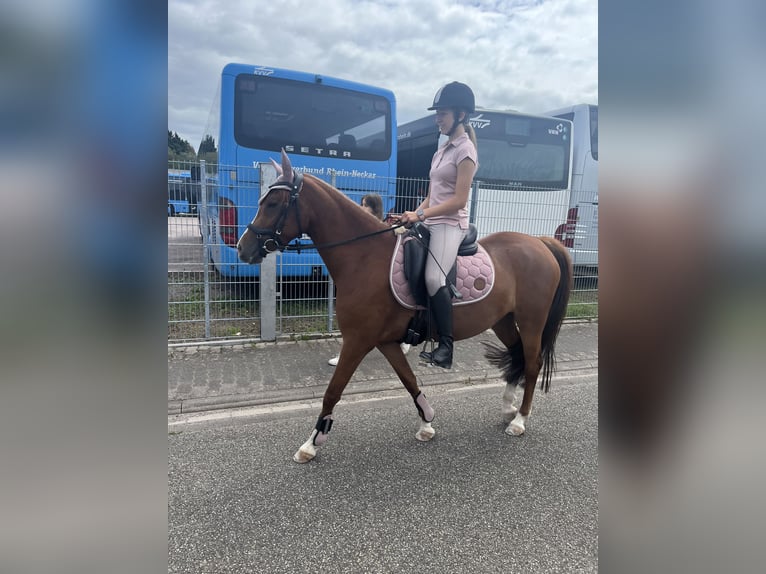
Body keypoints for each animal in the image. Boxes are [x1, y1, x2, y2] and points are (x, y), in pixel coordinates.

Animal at [237, 152, 572, 464]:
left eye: (273, 203)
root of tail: (541, 243)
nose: (243, 248)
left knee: (532, 363)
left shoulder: (357, 341)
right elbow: (409, 380)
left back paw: (520, 420)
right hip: (502, 320)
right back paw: (507, 407)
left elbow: (333, 390)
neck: (365, 256)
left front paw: (311, 444)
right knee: (517, 355)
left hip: (532, 321)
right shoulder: (385, 341)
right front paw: (427, 423)